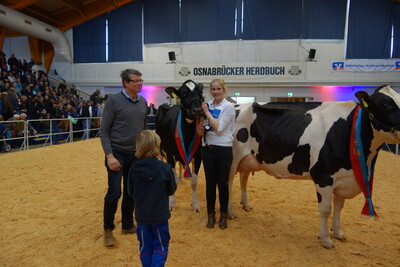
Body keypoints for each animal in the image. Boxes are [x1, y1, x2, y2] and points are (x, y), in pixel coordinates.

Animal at [155, 79, 205, 211]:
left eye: (200, 92)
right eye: (183, 94)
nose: (198, 110)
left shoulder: (198, 155)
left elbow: (194, 181)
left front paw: (195, 204)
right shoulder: (170, 154)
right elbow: (173, 182)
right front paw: (171, 203)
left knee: (181, 164)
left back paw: (181, 178)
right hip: (161, 148)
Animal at [228, 85, 400, 249]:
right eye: (384, 104)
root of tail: (236, 105)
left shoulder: (344, 177)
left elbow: (339, 207)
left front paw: (338, 232)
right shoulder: (323, 177)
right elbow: (326, 209)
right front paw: (325, 239)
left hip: (248, 159)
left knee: (243, 179)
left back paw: (246, 205)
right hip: (232, 159)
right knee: (227, 183)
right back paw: (230, 213)